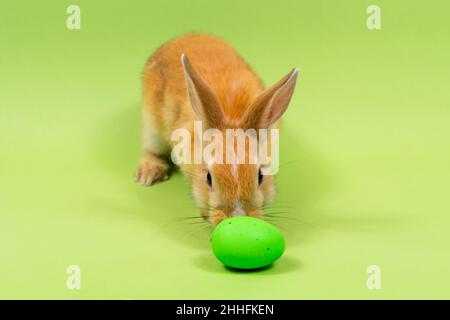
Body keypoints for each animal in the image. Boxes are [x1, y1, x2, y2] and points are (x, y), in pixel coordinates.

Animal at [135, 33, 300, 226]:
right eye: (208, 178)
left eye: (260, 176)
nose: (238, 217)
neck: (233, 114)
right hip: (151, 127)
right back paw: (147, 175)